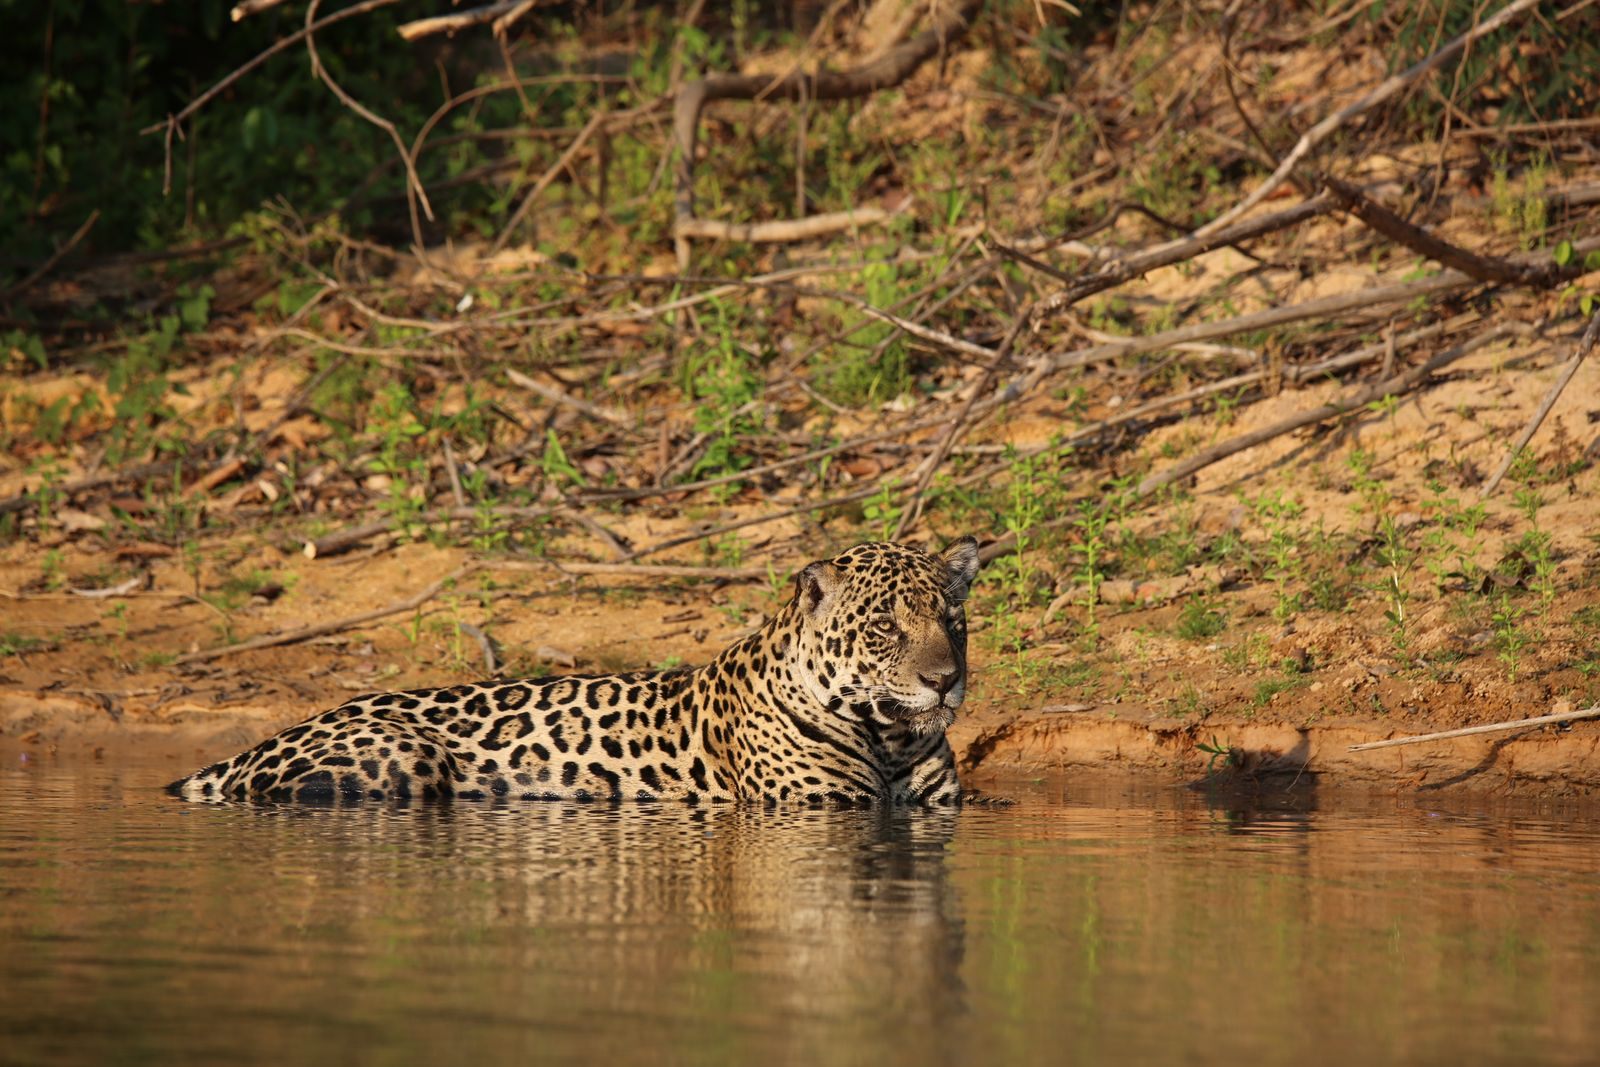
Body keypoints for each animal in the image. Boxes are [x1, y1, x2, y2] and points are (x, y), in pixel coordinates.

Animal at [167, 536, 981, 805]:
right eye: (883, 628)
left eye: (952, 622)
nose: (944, 680)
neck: (889, 736)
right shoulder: (820, 806)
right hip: (399, 756)